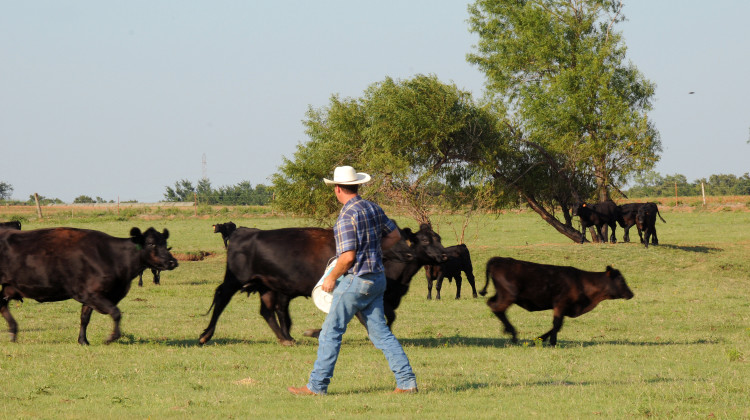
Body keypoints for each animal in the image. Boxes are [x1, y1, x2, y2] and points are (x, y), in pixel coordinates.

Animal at [0, 228, 179, 342]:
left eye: (165, 243)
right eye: (151, 244)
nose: (172, 262)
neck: (113, 257)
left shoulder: (90, 296)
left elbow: (85, 318)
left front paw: (83, 341)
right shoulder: (90, 293)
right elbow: (116, 312)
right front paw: (111, 337)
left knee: (2, 306)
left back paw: (13, 332)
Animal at [198, 223, 446, 344]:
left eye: (439, 239)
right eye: (425, 240)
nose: (444, 255)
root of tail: (243, 231)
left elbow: (388, 318)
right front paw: (315, 333)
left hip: (267, 286)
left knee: (267, 311)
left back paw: (286, 339)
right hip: (235, 279)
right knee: (221, 298)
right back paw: (206, 335)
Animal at [482, 258, 636, 346]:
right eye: (621, 280)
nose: (631, 294)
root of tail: (497, 260)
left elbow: (557, 325)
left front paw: (541, 339)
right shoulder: (560, 304)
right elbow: (557, 324)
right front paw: (548, 341)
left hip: (501, 294)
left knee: (492, 304)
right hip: (509, 295)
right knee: (497, 308)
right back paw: (513, 334)